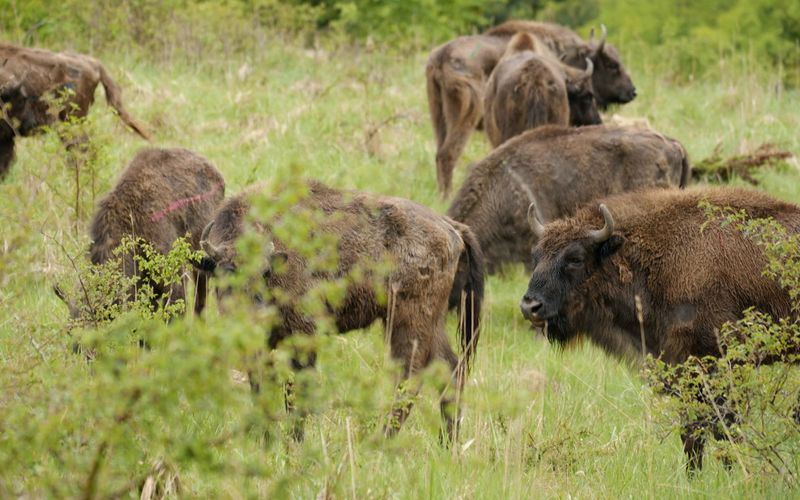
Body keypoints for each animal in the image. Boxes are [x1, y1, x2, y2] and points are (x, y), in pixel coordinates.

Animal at [197, 180, 484, 442]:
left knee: (410, 379)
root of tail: (452, 228)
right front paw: (266, 437)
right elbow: (261, 385)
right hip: (433, 323)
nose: (254, 313)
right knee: (451, 370)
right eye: (225, 272)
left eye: (265, 272)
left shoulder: (305, 335)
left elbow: (297, 389)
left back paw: (382, 440)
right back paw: (447, 443)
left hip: (407, 322)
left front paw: (295, 440)